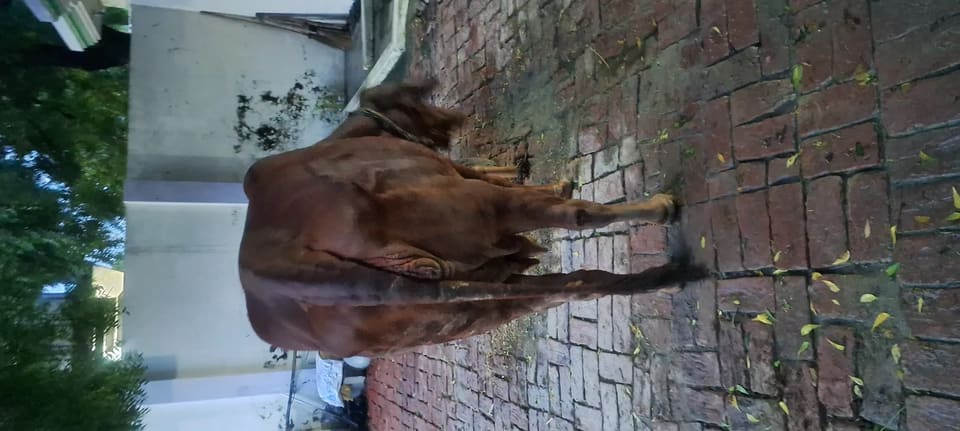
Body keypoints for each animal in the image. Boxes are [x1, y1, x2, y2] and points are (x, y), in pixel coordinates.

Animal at [238, 78, 709, 358]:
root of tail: (274, 271)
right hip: (476, 213)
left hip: (459, 314)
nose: (454, 118)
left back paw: (667, 276)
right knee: (577, 226)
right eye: (411, 100)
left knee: (575, 285)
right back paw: (664, 226)